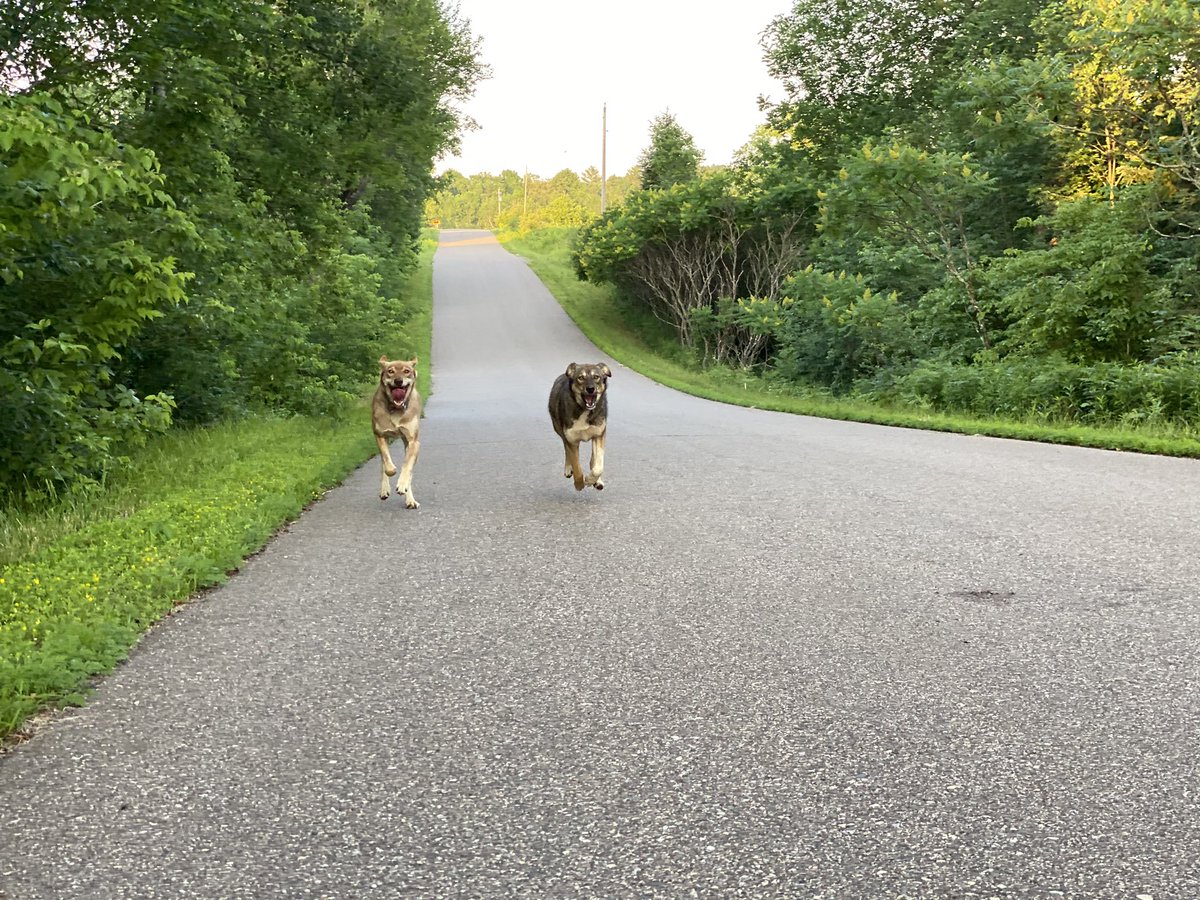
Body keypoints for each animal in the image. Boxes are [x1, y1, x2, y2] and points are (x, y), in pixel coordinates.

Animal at [372, 357, 424, 511]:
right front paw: (391, 471)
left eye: (406, 371)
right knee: (383, 462)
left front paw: (402, 485)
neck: (396, 408)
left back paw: (410, 499)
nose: (399, 381)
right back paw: (384, 490)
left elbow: (407, 466)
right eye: (390, 371)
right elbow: (386, 462)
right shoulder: (380, 435)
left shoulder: (413, 441)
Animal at [549, 362, 614, 494]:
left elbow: (598, 465)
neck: (584, 410)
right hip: (560, 430)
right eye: (580, 377)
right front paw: (579, 484)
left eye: (596, 377)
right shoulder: (571, 440)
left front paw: (591, 480)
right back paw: (568, 469)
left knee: (593, 460)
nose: (590, 389)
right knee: (566, 449)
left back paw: (597, 481)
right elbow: (577, 466)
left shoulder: (599, 434)